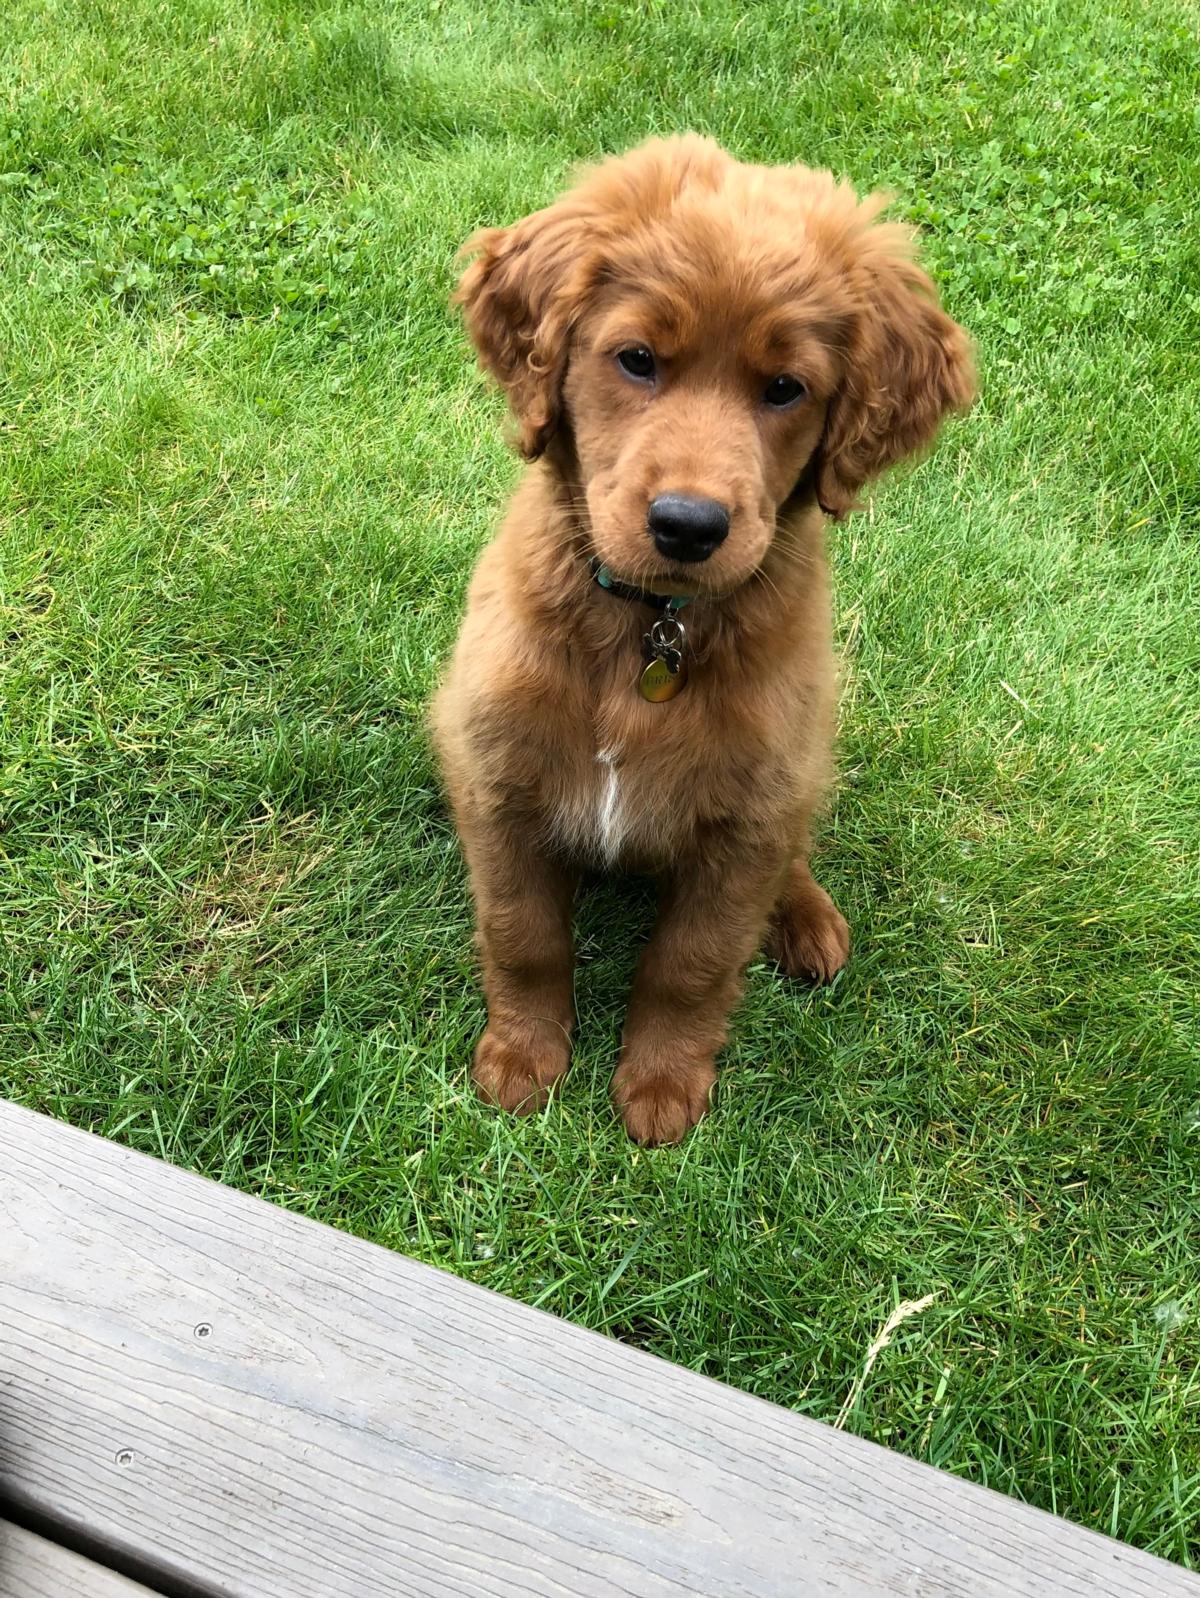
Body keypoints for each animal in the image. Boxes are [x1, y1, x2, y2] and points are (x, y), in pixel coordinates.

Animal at [434, 131, 977, 1144]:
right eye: (638, 359)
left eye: (786, 389)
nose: (689, 525)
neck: (654, 625)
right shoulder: (497, 779)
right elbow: (524, 935)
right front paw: (522, 1061)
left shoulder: (746, 821)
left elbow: (689, 964)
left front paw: (661, 1085)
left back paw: (807, 922)